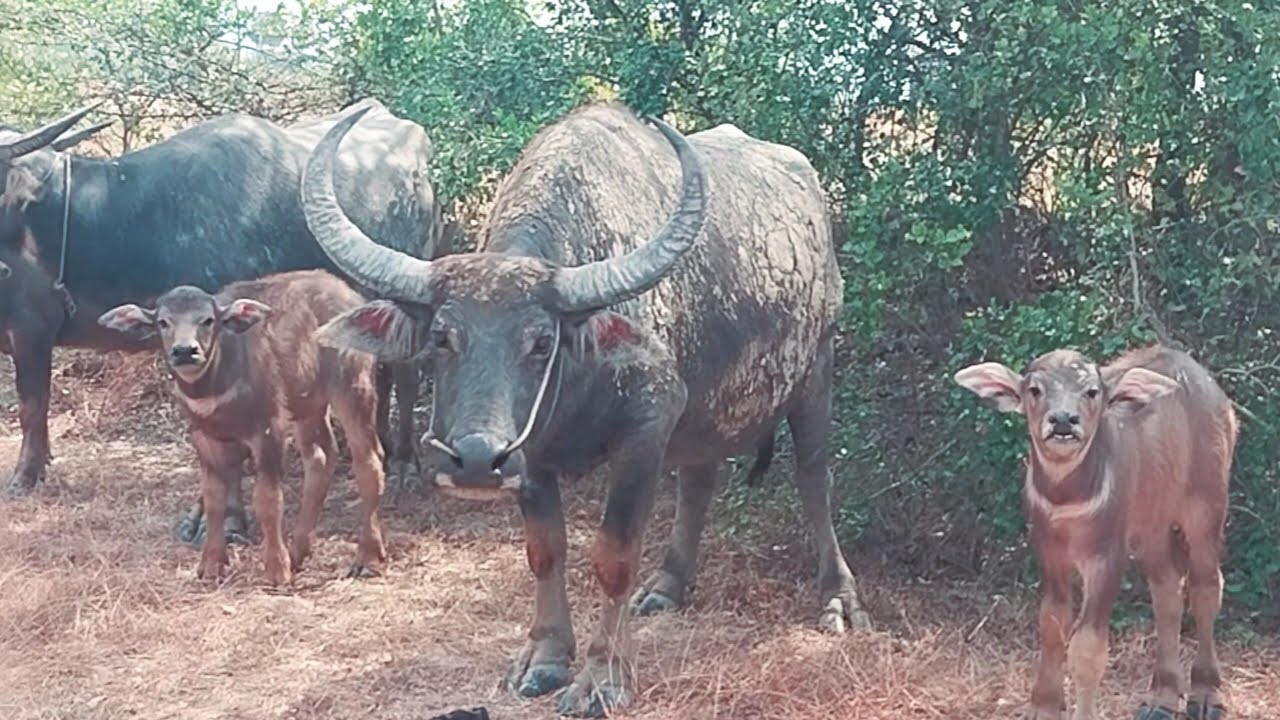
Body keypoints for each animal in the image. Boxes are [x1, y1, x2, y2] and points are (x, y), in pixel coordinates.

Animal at [300, 103, 871, 717]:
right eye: (442, 336)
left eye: (541, 341)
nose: (475, 461)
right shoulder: (531, 457)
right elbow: (545, 551)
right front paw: (546, 658)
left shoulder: (645, 430)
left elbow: (614, 556)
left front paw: (603, 677)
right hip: (704, 411)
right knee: (700, 480)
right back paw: (668, 585)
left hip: (816, 370)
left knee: (813, 476)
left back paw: (838, 598)